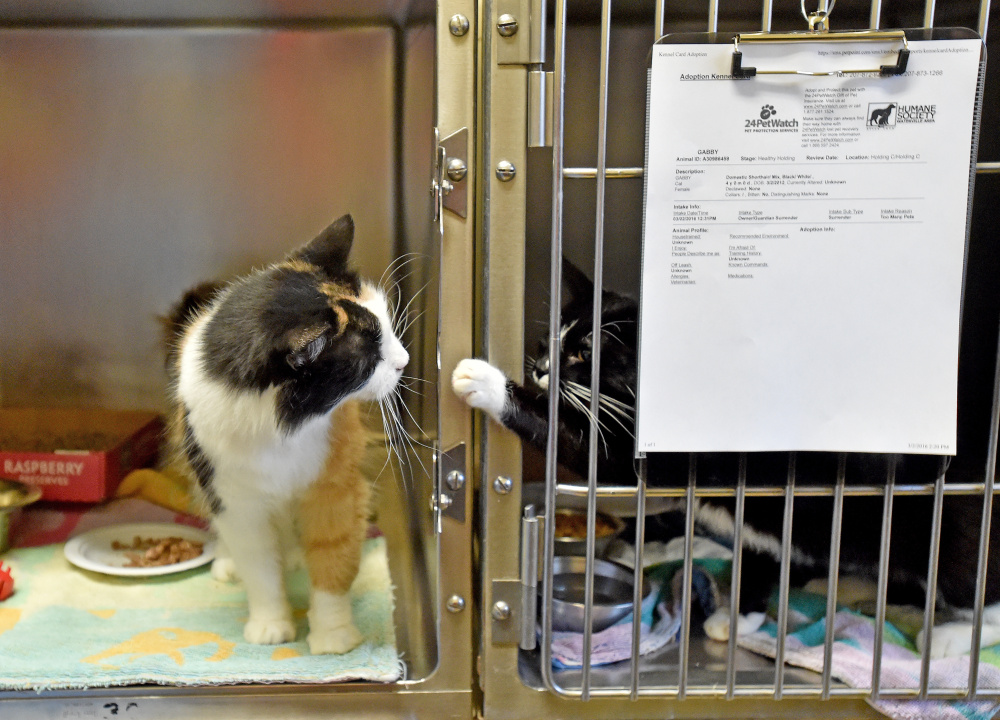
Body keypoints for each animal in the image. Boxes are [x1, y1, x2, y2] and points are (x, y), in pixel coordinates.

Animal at [164, 214, 406, 652]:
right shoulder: (235, 501)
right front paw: (270, 624)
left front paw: (332, 635)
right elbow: (260, 568)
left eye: (387, 325)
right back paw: (229, 561)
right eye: (366, 359)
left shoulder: (334, 488)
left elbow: (333, 559)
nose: (404, 361)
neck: (277, 431)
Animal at [454, 260, 1000, 660]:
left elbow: (577, 441)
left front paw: (486, 382)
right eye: (551, 340)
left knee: (973, 577)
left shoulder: (646, 448)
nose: (541, 367)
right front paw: (736, 612)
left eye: (584, 355)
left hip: (954, 522)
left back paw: (952, 635)